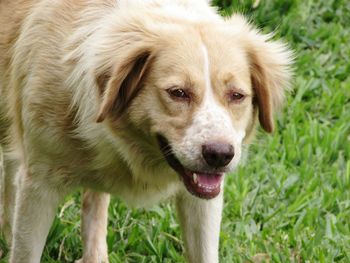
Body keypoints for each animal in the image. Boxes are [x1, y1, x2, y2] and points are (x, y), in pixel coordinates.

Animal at [0, 0, 292, 263]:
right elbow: (26, 251)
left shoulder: (202, 199)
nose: (220, 155)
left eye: (237, 96)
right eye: (178, 93)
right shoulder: (39, 185)